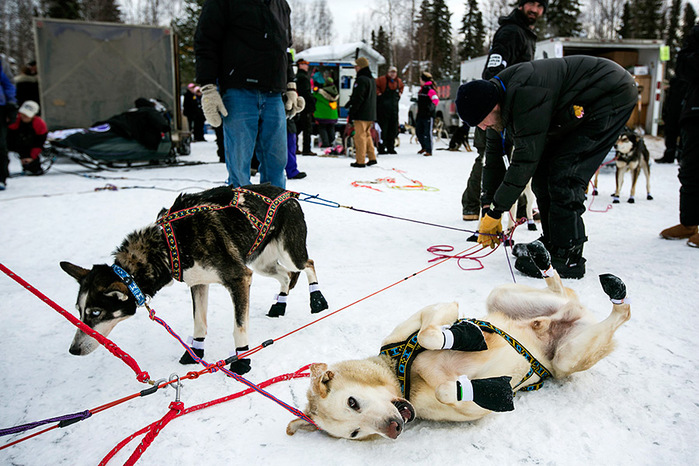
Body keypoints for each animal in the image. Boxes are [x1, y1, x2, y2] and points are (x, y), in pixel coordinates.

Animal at [60, 184, 328, 374]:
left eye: (95, 312)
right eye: (79, 310)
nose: (72, 349)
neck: (169, 244)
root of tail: (286, 193)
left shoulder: (239, 278)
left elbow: (239, 328)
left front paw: (241, 359)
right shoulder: (199, 282)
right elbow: (199, 323)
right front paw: (194, 352)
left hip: (288, 254)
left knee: (308, 264)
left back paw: (317, 299)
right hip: (261, 264)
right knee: (287, 275)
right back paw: (279, 304)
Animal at [288, 242, 632, 438]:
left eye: (353, 402)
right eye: (355, 432)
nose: (394, 430)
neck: (405, 375)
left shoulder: (434, 312)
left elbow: (429, 333)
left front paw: (461, 335)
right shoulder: (470, 412)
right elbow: (450, 392)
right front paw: (489, 390)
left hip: (534, 325)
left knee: (609, 306)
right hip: (563, 348)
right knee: (576, 297)